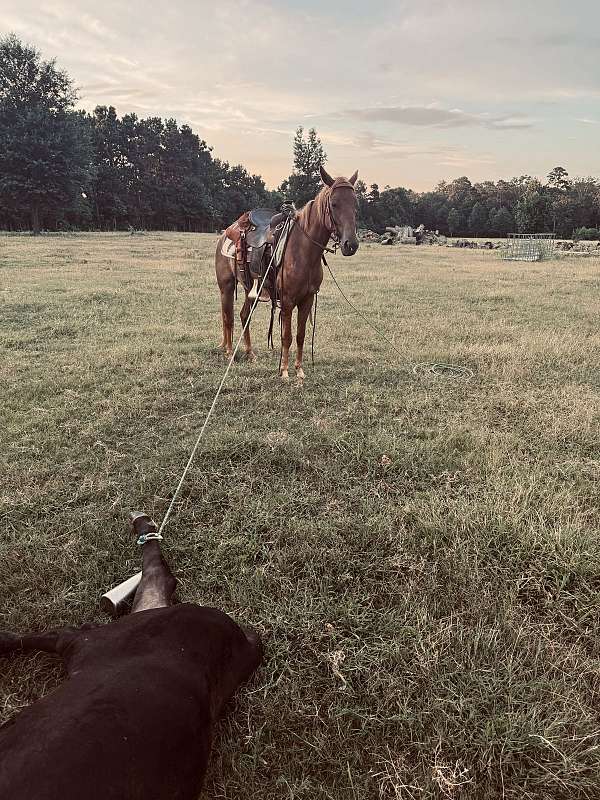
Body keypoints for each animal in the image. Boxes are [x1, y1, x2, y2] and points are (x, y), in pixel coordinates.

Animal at [215, 166, 360, 380]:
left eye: (355, 204)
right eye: (334, 204)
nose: (351, 244)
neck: (303, 251)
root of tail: (227, 231)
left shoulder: (307, 300)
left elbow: (300, 335)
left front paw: (299, 370)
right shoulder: (288, 301)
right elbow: (286, 336)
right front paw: (284, 371)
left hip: (251, 290)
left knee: (243, 315)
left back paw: (250, 353)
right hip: (226, 286)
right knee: (228, 318)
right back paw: (228, 352)